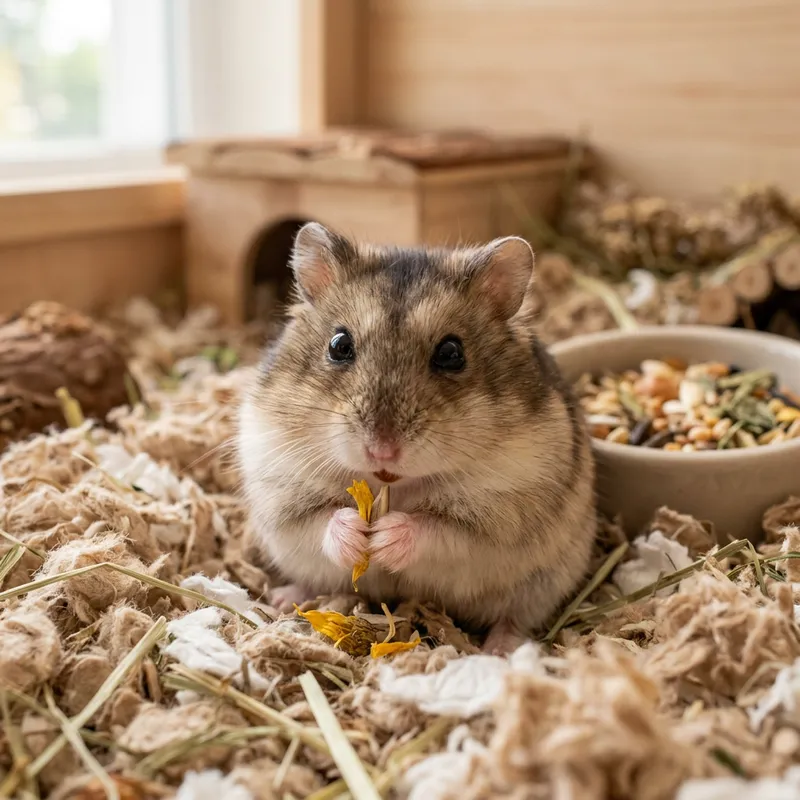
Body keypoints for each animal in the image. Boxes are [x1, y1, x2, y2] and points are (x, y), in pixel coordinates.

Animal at [237, 222, 597, 653]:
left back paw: (500, 648)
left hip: (541, 583)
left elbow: (439, 530)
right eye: (339, 345)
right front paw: (359, 536)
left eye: (451, 353)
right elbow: (321, 519)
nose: (382, 450)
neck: (392, 486)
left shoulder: (497, 517)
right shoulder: (282, 491)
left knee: (514, 617)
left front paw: (384, 538)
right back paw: (282, 597)